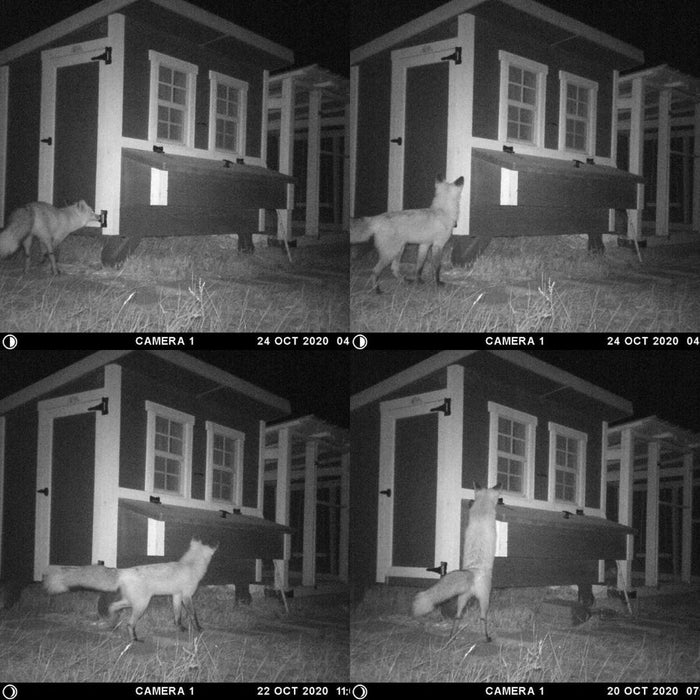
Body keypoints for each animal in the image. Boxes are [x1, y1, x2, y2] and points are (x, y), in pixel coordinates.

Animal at [43, 540, 216, 644]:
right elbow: (193, 614)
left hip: (132, 602)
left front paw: (180, 628)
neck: (191, 566)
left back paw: (113, 623)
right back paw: (134, 639)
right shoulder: (186, 595)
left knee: (112, 607)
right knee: (129, 623)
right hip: (141, 605)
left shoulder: (176, 595)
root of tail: (124, 571)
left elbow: (177, 615)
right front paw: (199, 628)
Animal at [412, 484, 500, 644]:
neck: (482, 508)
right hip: (485, 598)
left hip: (462, 598)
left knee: (457, 616)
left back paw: (452, 635)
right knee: (483, 617)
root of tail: (471, 572)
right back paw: (486, 636)